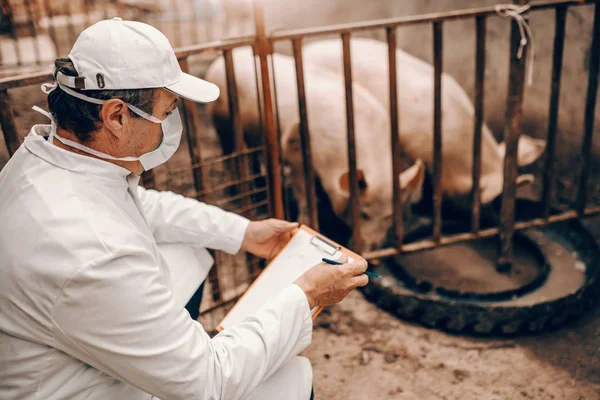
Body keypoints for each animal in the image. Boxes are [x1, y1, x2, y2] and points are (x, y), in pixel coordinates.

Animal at [206, 47, 426, 250]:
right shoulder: (294, 154)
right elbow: (304, 193)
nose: (372, 252)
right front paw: (308, 222)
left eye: (389, 216)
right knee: (228, 152)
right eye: (363, 213)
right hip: (220, 119)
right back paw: (233, 190)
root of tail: (217, 63)